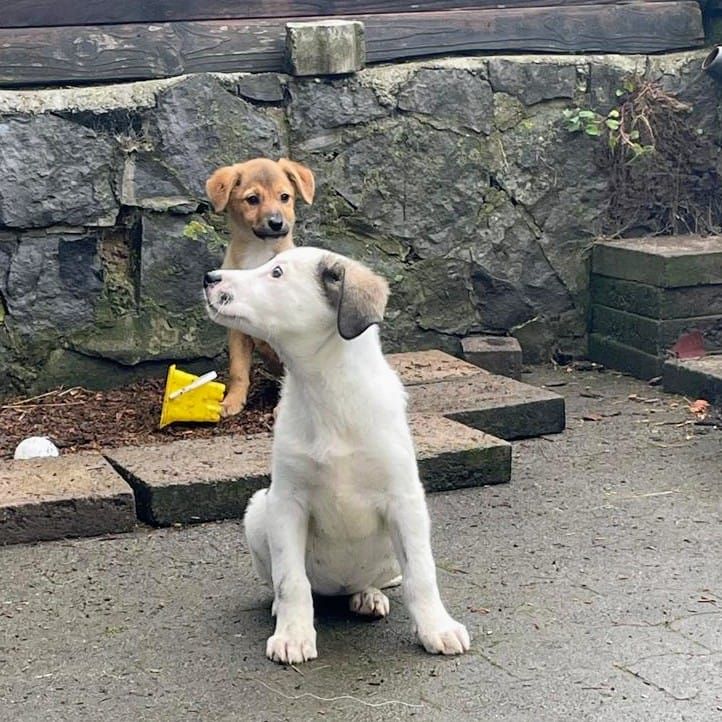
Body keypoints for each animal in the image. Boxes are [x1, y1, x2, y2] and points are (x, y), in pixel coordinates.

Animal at [203, 247, 470, 664]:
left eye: (276, 273)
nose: (209, 278)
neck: (326, 390)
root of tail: (338, 587)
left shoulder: (404, 500)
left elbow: (421, 574)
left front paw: (436, 628)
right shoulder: (287, 501)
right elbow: (291, 580)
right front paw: (293, 634)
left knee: (372, 580)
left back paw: (367, 596)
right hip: (260, 509)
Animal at [205, 157, 315, 417]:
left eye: (284, 197)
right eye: (253, 199)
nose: (276, 223)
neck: (259, 252)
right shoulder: (236, 330)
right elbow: (237, 369)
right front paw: (232, 401)